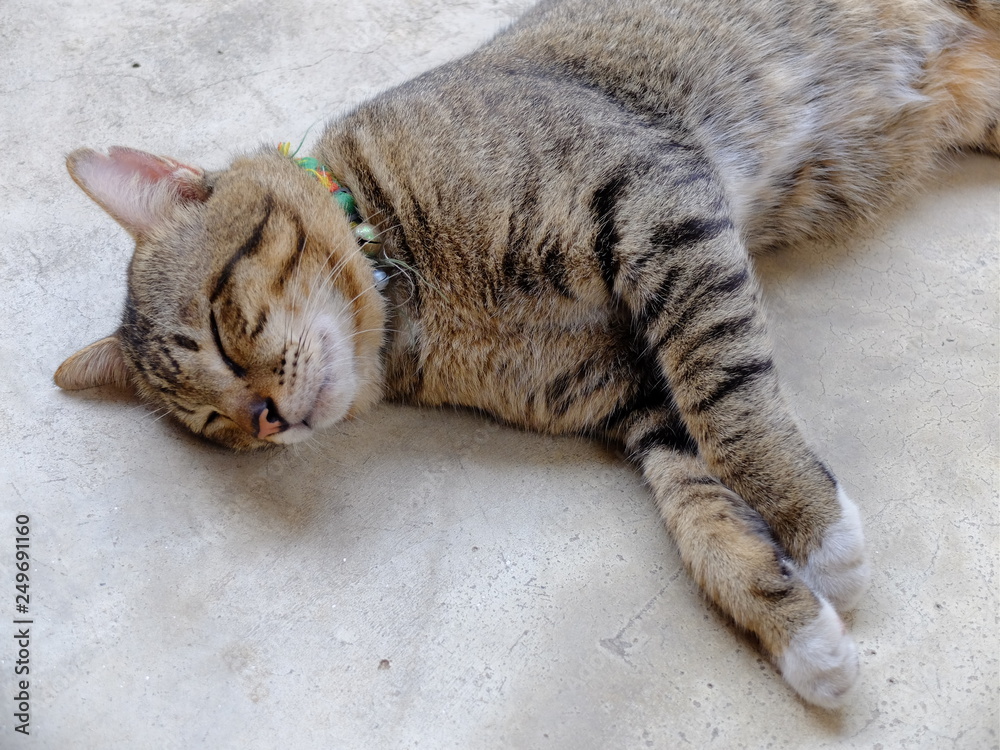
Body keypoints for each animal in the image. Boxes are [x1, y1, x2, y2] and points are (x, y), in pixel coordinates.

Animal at [52, 0, 1000, 712]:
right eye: (216, 424)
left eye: (219, 326)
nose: (267, 420)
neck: (419, 298)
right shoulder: (637, 397)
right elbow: (701, 511)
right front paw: (799, 635)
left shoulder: (655, 199)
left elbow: (728, 405)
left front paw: (819, 531)